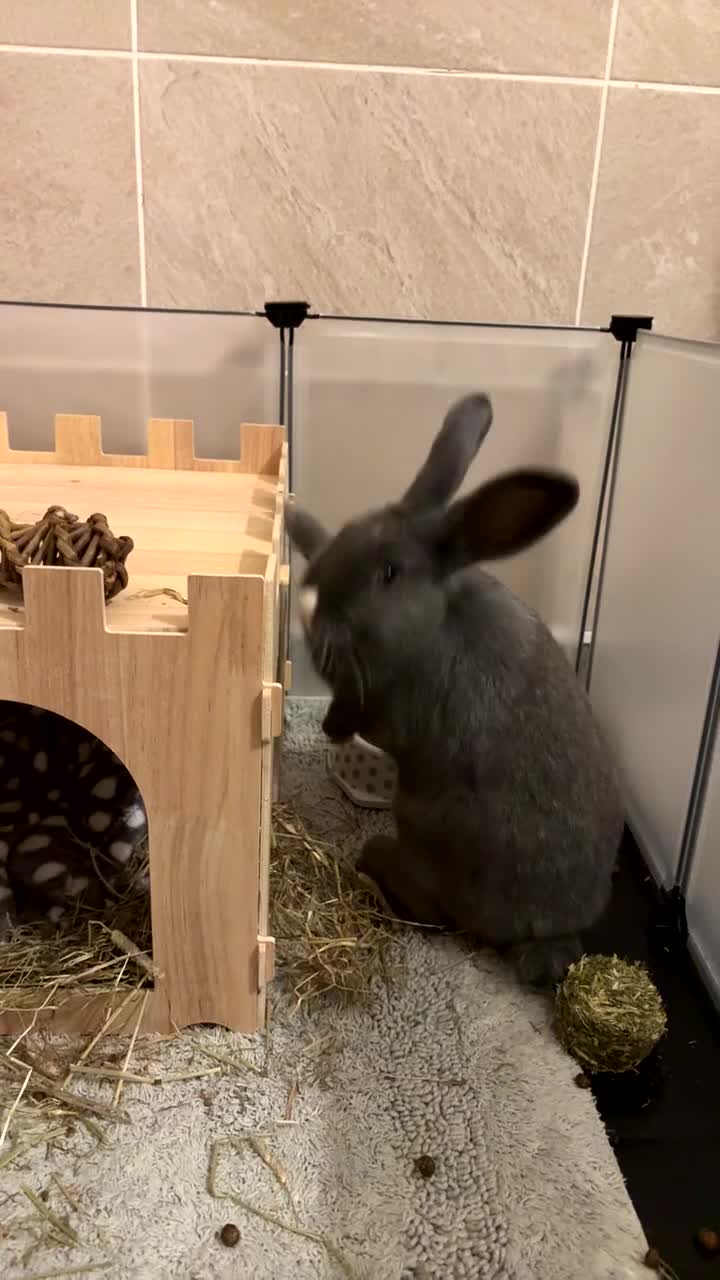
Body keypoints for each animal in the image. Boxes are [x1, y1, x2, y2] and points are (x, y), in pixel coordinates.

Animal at [285, 392, 623, 985]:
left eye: (389, 573)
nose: (315, 599)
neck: (433, 618)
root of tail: (548, 936)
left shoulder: (385, 705)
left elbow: (355, 714)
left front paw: (330, 727)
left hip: (425, 843)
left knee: (434, 916)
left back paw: (372, 868)